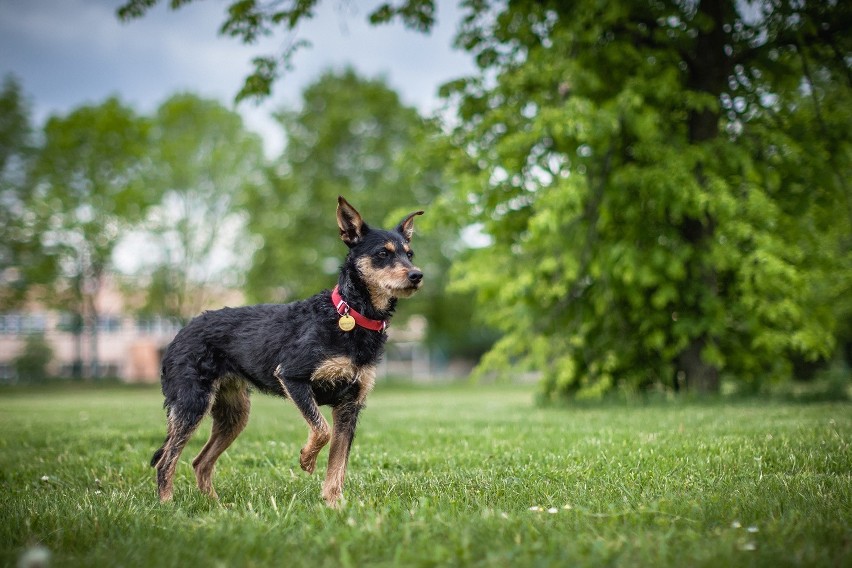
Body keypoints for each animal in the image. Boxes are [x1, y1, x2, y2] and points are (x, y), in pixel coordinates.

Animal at [151, 197, 424, 508]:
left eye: (409, 254)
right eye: (382, 253)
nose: (417, 275)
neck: (349, 314)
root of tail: (179, 333)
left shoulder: (349, 406)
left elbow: (338, 462)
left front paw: (334, 503)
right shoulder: (293, 377)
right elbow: (322, 430)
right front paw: (307, 459)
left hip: (234, 414)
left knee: (200, 461)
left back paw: (216, 506)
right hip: (191, 404)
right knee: (166, 460)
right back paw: (167, 505)